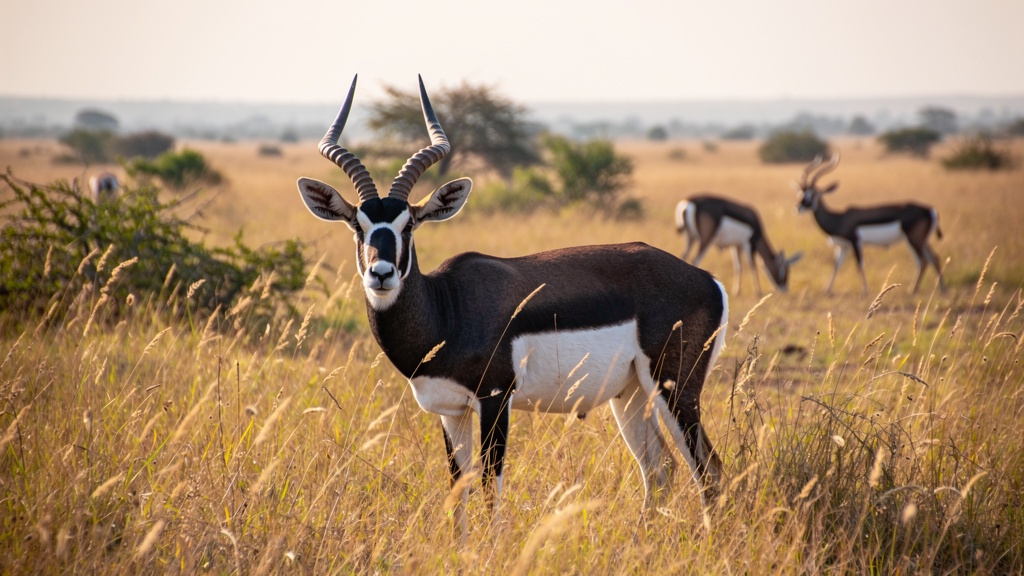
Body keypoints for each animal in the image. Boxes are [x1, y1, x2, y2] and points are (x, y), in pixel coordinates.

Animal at [296, 76, 729, 541]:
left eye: (408, 224)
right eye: (357, 225)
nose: (381, 273)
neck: (448, 309)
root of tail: (708, 280)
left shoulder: (495, 400)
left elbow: (491, 484)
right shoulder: (451, 411)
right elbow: (459, 486)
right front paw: (460, 547)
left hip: (675, 390)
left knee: (708, 468)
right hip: (631, 394)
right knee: (660, 468)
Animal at [795, 154, 945, 294]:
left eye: (813, 194)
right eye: (802, 193)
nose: (798, 207)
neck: (839, 218)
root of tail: (930, 210)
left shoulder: (855, 242)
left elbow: (859, 265)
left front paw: (864, 291)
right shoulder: (843, 246)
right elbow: (836, 266)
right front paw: (827, 290)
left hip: (914, 240)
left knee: (923, 261)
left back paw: (913, 290)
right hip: (921, 241)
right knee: (934, 258)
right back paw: (941, 290)